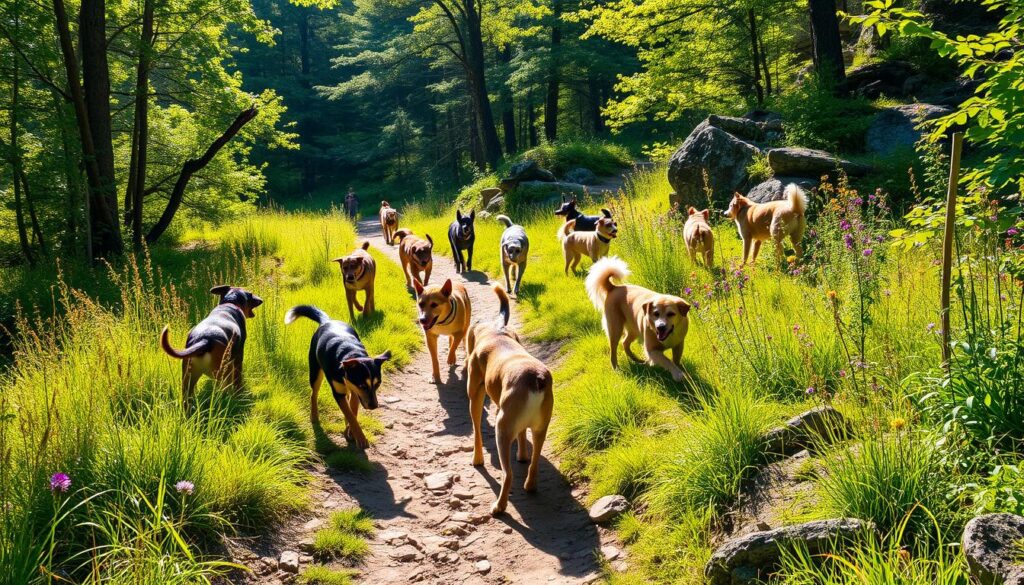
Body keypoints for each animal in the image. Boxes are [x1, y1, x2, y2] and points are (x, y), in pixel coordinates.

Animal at [284, 307, 391, 448]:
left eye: (378, 384)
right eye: (362, 385)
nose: (374, 406)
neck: (352, 353)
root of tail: (327, 321)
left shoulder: (355, 391)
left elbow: (352, 411)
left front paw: (350, 432)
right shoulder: (341, 392)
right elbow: (350, 414)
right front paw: (360, 438)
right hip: (315, 371)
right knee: (314, 393)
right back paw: (314, 416)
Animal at [468, 286, 557, 514]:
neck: (495, 333)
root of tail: (537, 379)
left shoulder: (475, 396)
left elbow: (477, 431)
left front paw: (477, 459)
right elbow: (523, 437)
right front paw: (522, 455)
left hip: (502, 429)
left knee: (507, 475)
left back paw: (499, 507)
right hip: (540, 430)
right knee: (534, 463)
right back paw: (530, 485)